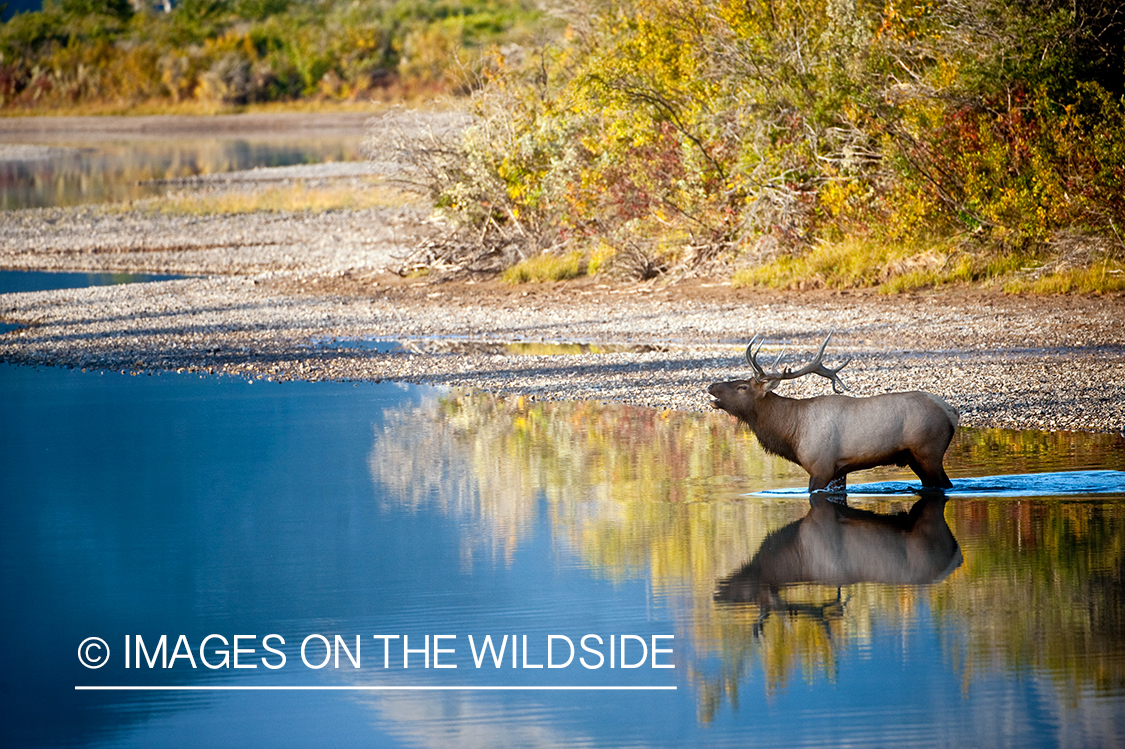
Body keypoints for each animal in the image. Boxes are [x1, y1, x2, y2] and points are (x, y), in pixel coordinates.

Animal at [702, 332, 958, 490]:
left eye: (742, 387)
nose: (711, 386)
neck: (791, 431)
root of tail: (952, 412)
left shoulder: (821, 467)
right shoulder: (838, 471)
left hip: (929, 452)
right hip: (915, 458)